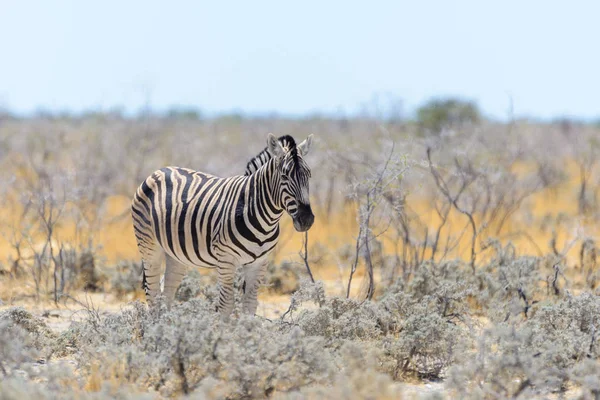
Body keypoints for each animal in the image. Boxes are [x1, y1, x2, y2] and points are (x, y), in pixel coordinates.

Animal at [131, 133, 314, 314]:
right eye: (284, 176)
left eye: (309, 175)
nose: (307, 219)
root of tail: (160, 170)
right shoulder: (226, 260)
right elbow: (226, 305)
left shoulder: (259, 263)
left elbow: (250, 305)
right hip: (149, 246)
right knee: (153, 294)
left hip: (176, 254)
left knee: (167, 293)